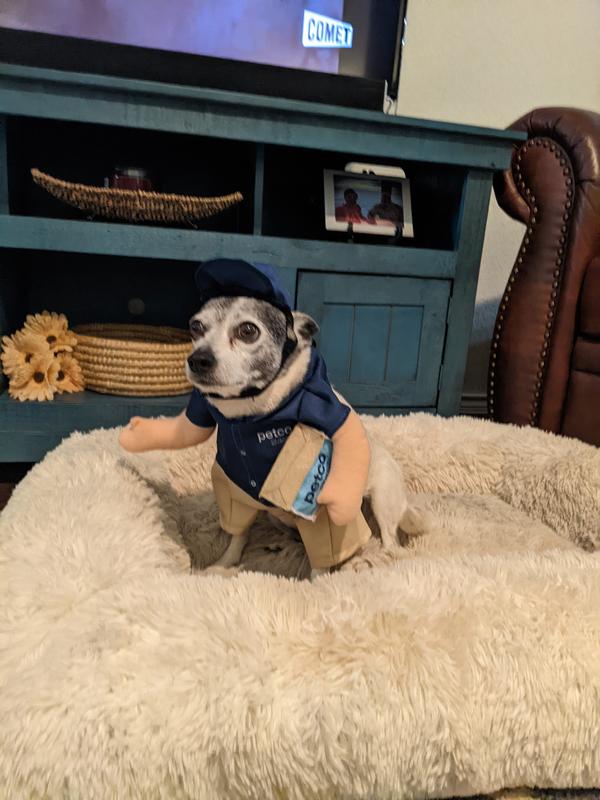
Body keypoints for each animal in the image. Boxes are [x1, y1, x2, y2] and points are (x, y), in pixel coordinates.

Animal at [185, 294, 424, 576]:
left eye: (248, 331)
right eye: (195, 327)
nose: (198, 359)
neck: (254, 421)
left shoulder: (320, 510)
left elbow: (321, 559)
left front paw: (317, 583)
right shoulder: (236, 494)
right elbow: (238, 535)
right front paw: (223, 565)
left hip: (382, 498)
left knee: (390, 546)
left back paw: (360, 560)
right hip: (275, 516)